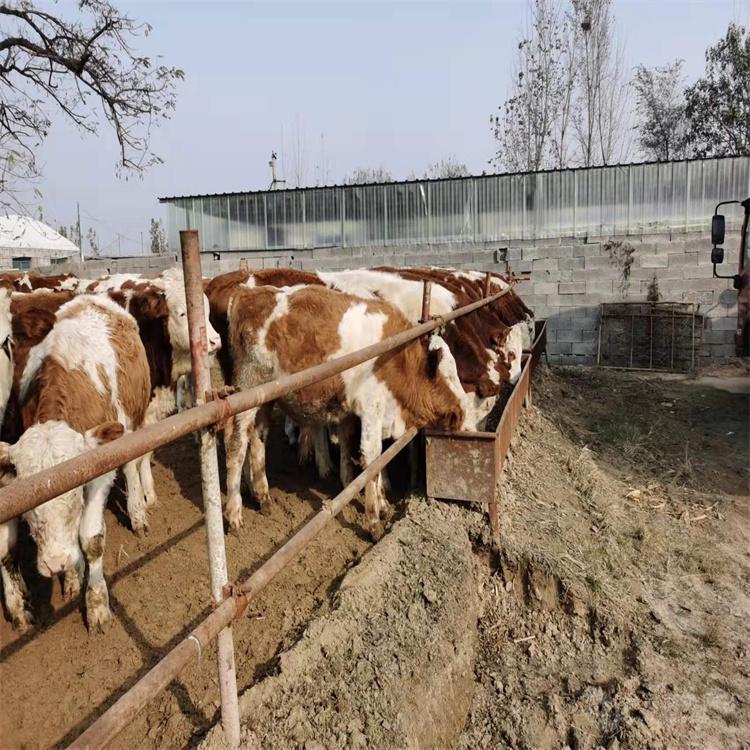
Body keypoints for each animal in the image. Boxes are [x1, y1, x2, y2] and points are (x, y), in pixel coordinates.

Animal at [0, 296, 150, 632]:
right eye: (29, 508)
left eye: (72, 496)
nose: (54, 563)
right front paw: (70, 576)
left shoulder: (100, 472)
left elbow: (91, 539)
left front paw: (97, 604)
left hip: (134, 425)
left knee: (132, 467)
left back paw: (137, 513)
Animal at [222, 286, 476, 540]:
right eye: (447, 375)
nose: (463, 414)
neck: (398, 358)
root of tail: (247, 293)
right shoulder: (372, 408)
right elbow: (373, 459)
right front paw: (374, 521)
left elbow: (368, 456)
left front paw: (380, 503)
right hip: (248, 390)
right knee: (236, 444)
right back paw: (234, 514)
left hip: (267, 399)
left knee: (258, 438)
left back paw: (263, 497)